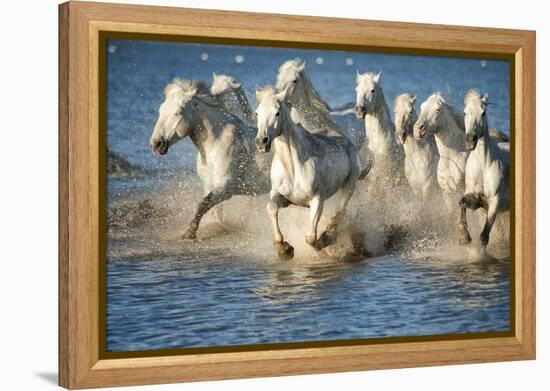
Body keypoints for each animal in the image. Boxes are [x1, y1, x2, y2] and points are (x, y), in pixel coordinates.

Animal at [151, 77, 272, 239]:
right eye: (161, 110)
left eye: (178, 112)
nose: (156, 144)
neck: (215, 143)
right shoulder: (209, 185)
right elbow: (215, 211)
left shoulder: (226, 188)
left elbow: (202, 205)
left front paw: (189, 233)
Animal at [256, 87, 368, 262]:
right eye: (256, 113)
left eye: (277, 112)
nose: (262, 141)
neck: (293, 167)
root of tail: (347, 141)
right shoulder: (283, 197)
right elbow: (271, 208)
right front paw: (285, 249)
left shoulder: (316, 200)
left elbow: (311, 237)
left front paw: (322, 241)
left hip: (349, 185)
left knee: (340, 213)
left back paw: (331, 237)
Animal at [460, 90, 512, 247]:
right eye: (465, 112)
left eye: (483, 113)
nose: (470, 140)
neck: (483, 167)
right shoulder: (476, 200)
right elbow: (462, 202)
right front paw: (464, 237)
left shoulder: (494, 202)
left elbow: (484, 236)